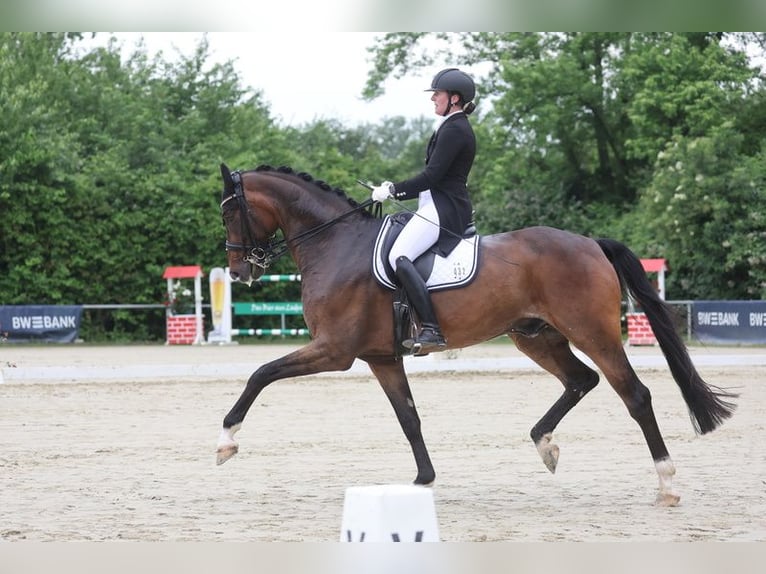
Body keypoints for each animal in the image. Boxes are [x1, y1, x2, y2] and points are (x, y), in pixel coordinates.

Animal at [216, 163, 736, 508]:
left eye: (229, 213)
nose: (239, 271)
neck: (336, 245)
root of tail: (591, 243)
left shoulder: (334, 351)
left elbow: (260, 374)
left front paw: (226, 440)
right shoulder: (381, 357)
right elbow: (409, 418)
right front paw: (423, 480)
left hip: (593, 332)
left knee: (635, 395)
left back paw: (667, 484)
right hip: (537, 336)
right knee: (580, 381)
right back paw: (545, 444)